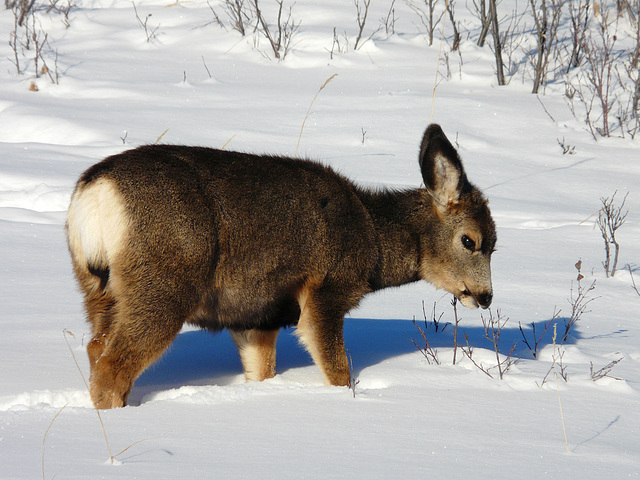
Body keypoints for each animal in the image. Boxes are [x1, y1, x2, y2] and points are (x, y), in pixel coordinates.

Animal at [66, 124, 496, 408]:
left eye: (495, 243)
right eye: (470, 240)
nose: (486, 296)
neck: (371, 238)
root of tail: (94, 191)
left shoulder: (257, 316)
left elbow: (261, 372)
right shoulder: (326, 290)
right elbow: (337, 372)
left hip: (96, 287)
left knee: (96, 347)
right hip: (163, 282)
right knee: (112, 367)